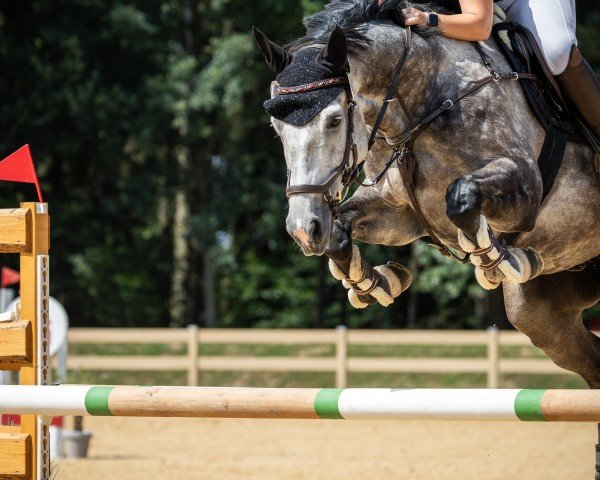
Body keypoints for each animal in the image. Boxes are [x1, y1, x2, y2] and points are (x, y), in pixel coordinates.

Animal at [251, 0, 596, 442]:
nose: (303, 229)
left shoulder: (524, 184)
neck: (418, 107)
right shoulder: (398, 211)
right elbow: (342, 233)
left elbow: (462, 198)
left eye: (333, 120)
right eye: (276, 128)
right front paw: (374, 281)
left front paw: (498, 261)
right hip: (543, 314)